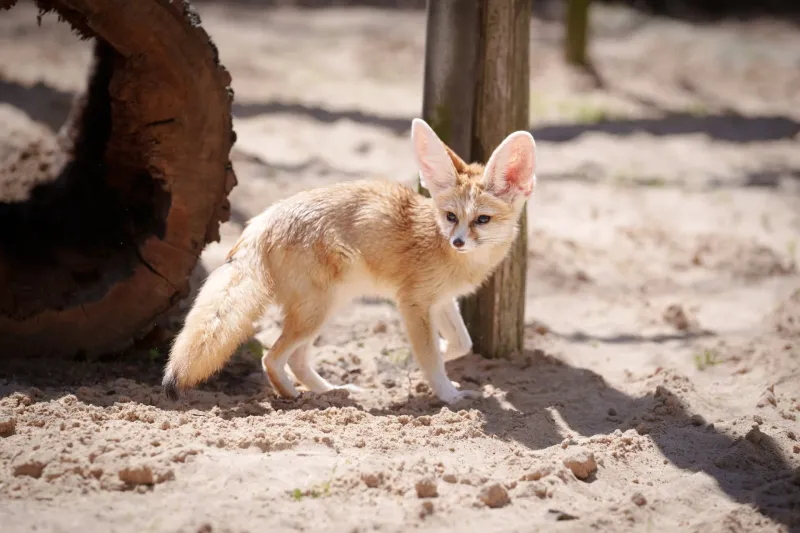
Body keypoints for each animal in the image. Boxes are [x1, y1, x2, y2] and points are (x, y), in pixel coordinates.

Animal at [162, 117, 536, 404]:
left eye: (482, 220)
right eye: (451, 217)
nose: (458, 242)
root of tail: (261, 220)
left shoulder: (441, 301)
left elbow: (462, 343)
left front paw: (442, 354)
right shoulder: (413, 304)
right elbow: (430, 357)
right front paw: (449, 395)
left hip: (326, 309)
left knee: (296, 360)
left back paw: (330, 392)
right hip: (319, 311)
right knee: (272, 357)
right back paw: (294, 397)